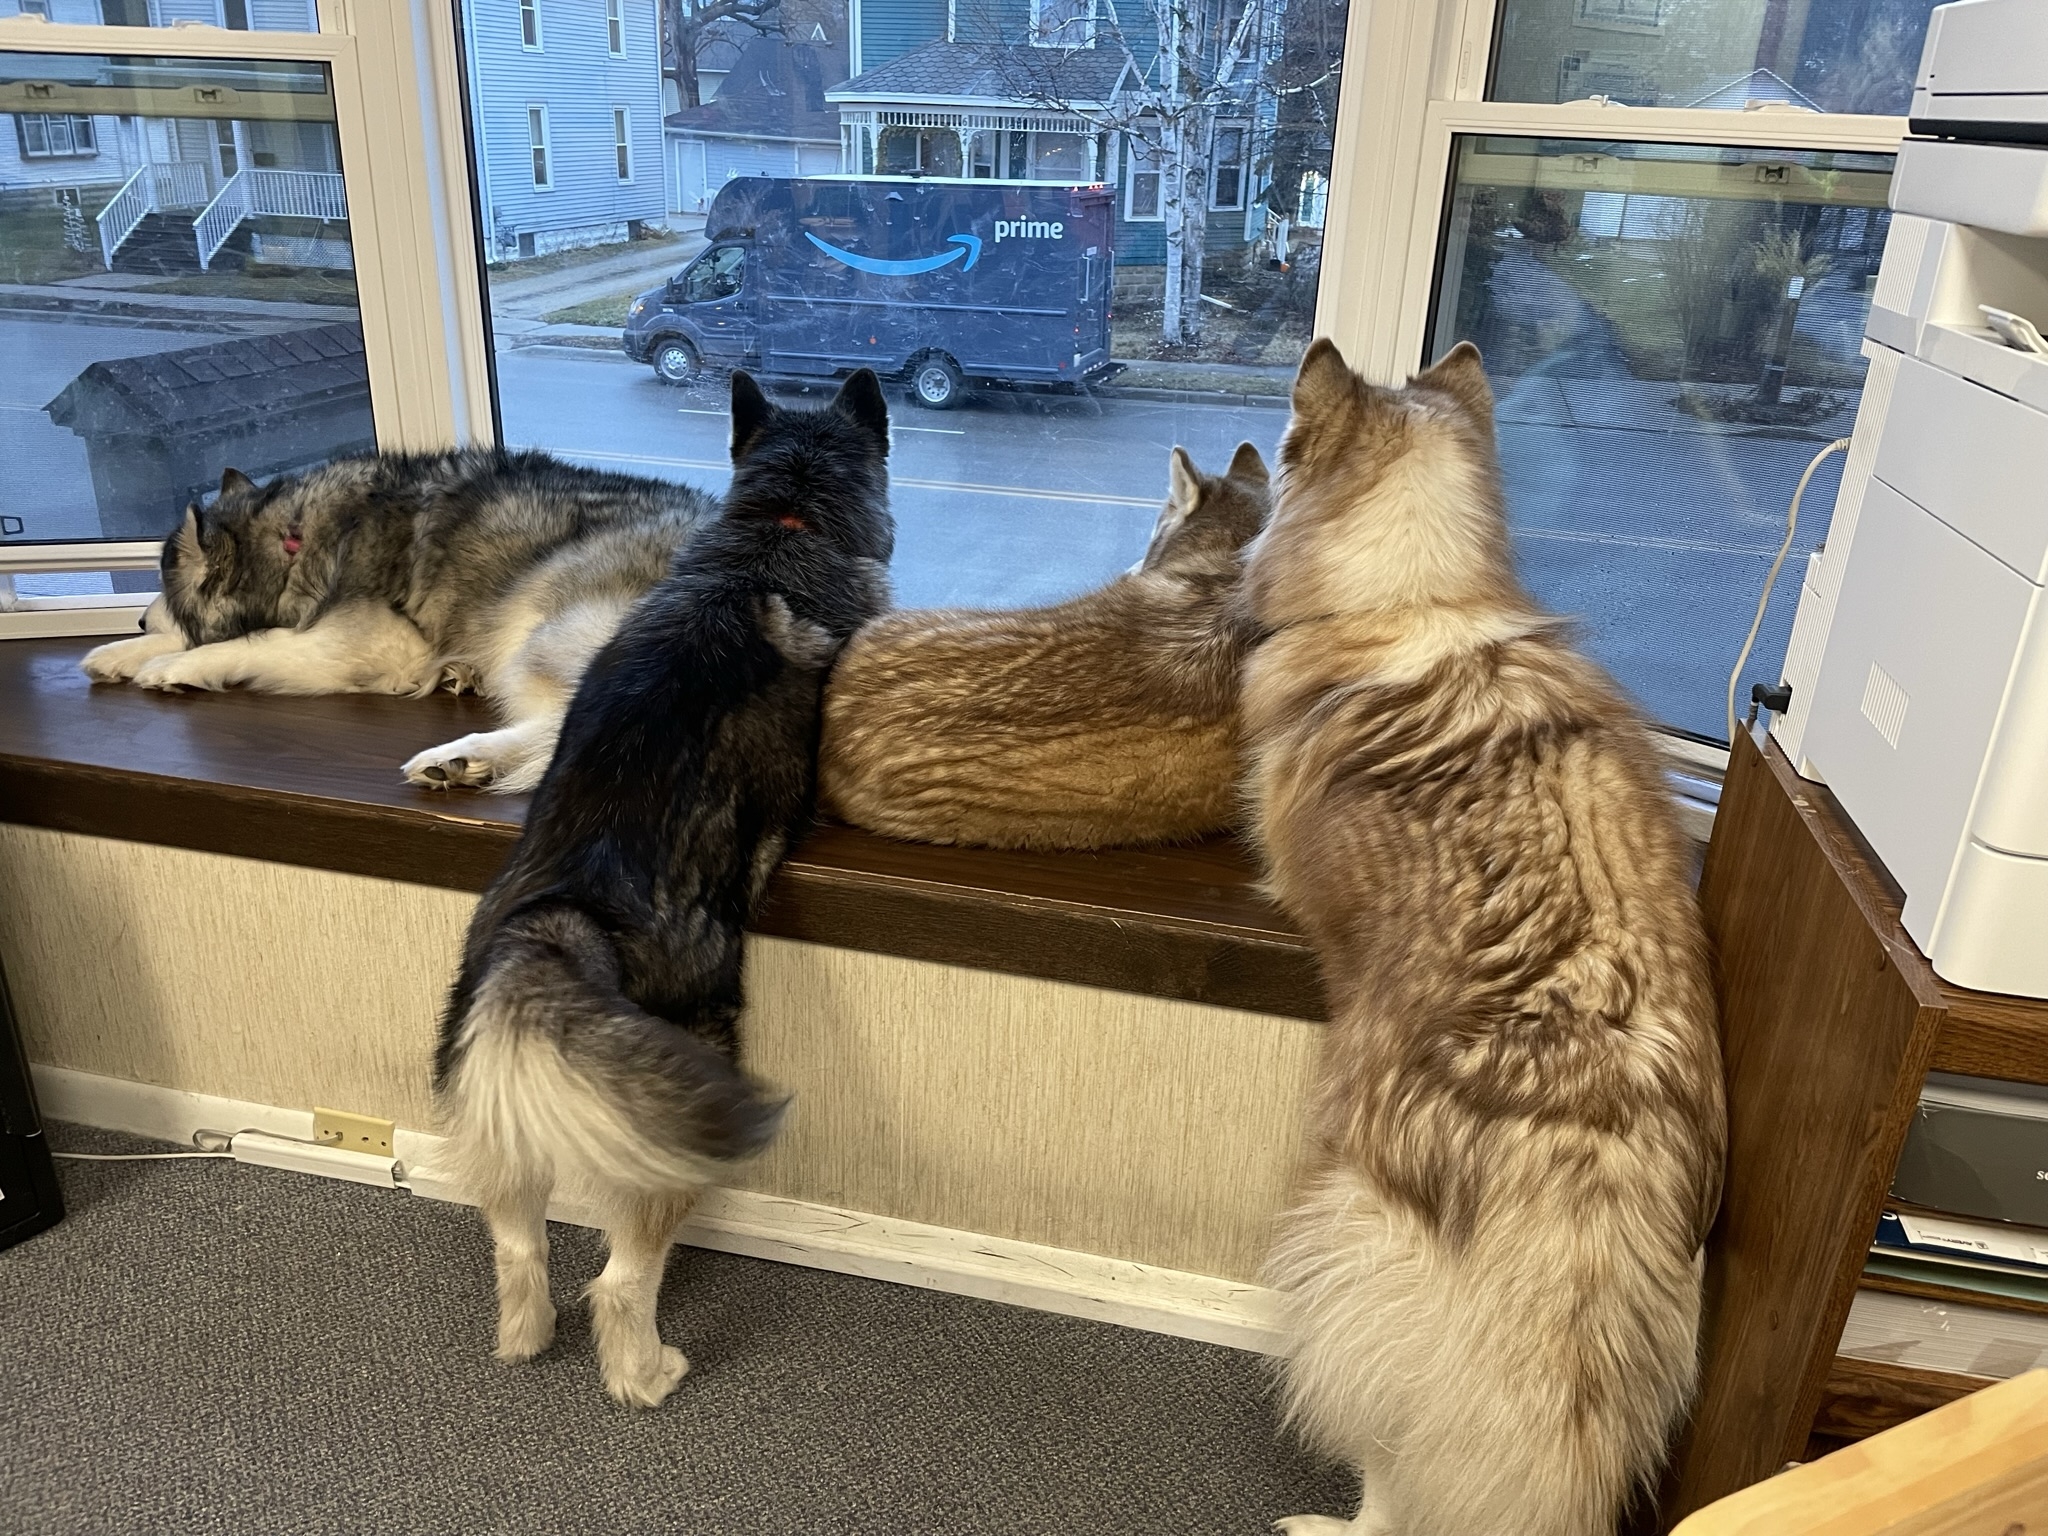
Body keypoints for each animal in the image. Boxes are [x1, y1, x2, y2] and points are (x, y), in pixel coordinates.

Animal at [79, 450, 718, 794]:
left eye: (164, 584)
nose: (138, 619)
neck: (292, 538)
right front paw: (118, 652)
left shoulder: (369, 643)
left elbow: (256, 643)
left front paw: (173, 663)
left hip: (543, 627)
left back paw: (459, 754)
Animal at [433, 370, 894, 1408]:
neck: (779, 528)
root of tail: (560, 918)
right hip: (675, 1114)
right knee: (617, 1281)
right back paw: (645, 1374)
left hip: (493, 1091)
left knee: (517, 1245)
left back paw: (525, 1336)